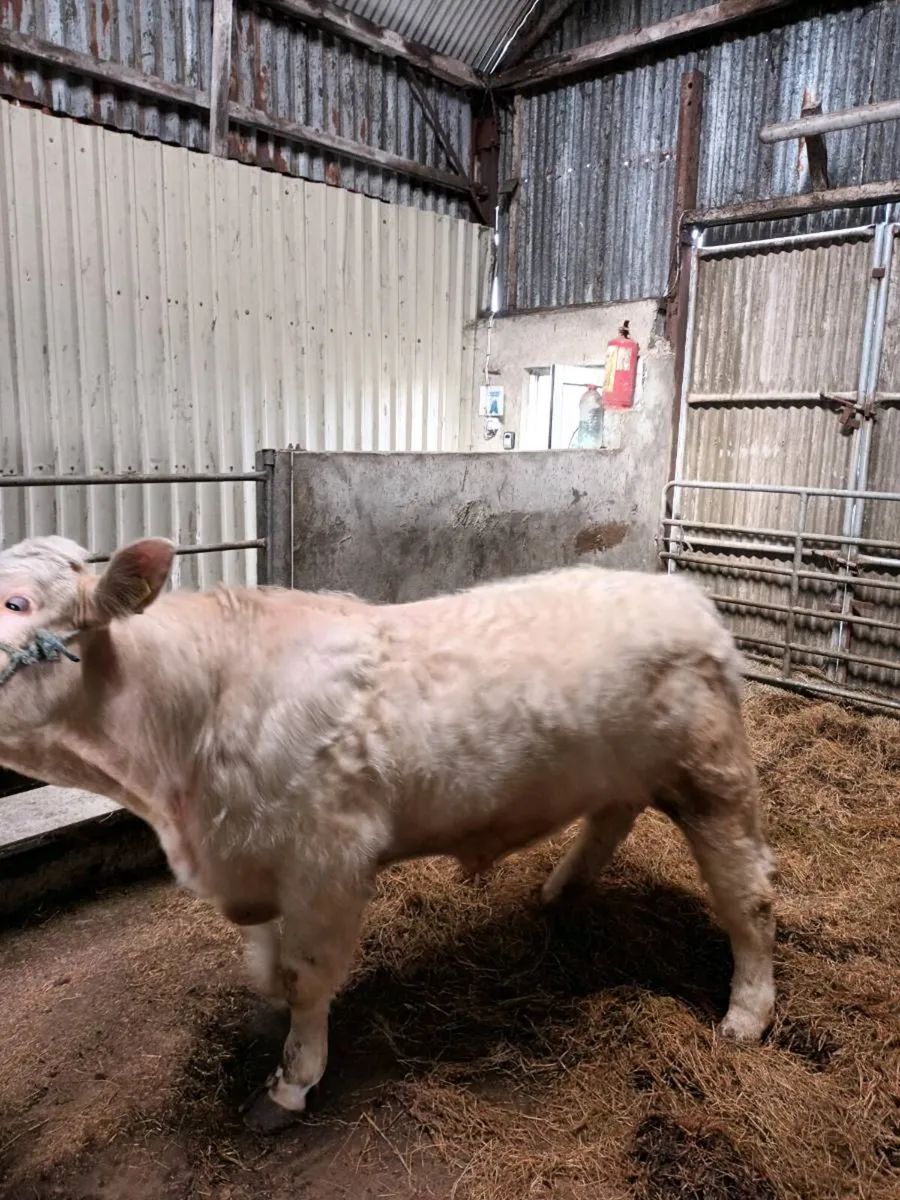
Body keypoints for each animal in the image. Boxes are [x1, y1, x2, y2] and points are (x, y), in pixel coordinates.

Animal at [0, 535, 776, 1132]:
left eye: (18, 602)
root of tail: (681, 591)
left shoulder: (328, 860)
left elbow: (304, 977)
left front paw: (291, 1083)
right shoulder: (249, 859)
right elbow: (266, 963)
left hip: (714, 778)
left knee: (751, 895)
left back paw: (747, 1015)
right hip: (617, 768)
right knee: (613, 816)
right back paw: (562, 890)